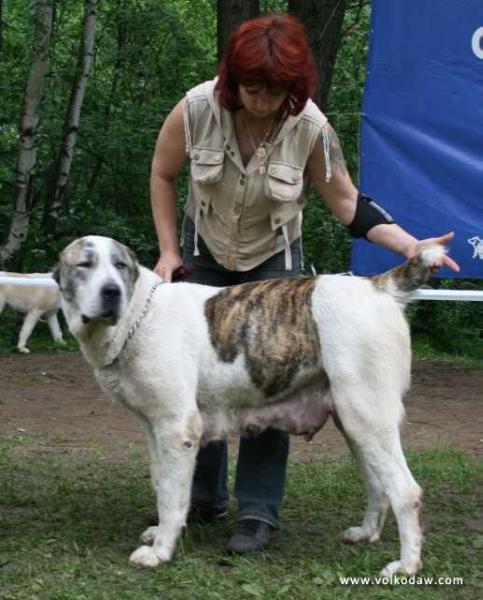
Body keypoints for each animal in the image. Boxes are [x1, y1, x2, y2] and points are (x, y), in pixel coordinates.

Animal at [54, 236, 446, 576]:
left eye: (120, 266)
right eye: (85, 265)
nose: (112, 292)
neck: (139, 313)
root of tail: (378, 286)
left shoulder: (177, 428)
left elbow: (172, 494)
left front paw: (160, 551)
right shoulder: (154, 428)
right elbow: (162, 483)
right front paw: (163, 532)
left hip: (366, 415)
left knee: (405, 491)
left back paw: (406, 565)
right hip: (355, 423)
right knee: (378, 484)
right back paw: (366, 534)